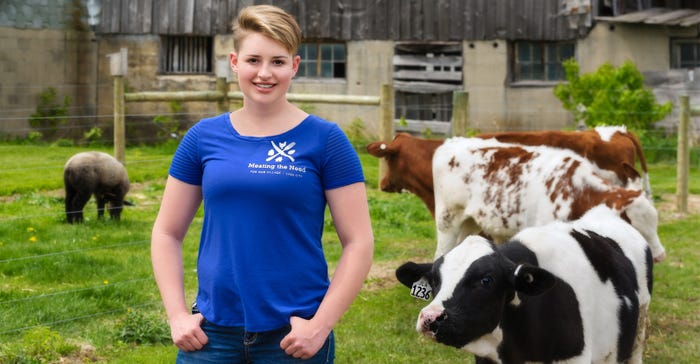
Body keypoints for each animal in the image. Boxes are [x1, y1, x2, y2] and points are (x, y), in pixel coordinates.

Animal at [432, 138, 668, 264]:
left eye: (655, 224)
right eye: (634, 227)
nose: (659, 256)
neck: (576, 191)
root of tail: (452, 142)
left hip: (470, 222)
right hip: (447, 220)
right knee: (440, 254)